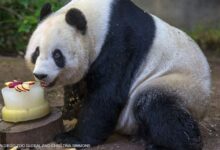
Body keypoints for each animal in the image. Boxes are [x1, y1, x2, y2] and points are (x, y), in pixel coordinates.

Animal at [24, 0, 211, 150]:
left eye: (57, 55)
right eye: (36, 52)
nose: (40, 75)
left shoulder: (119, 44)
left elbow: (107, 95)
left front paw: (72, 138)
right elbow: (77, 87)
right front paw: (67, 114)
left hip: (179, 85)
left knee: (156, 107)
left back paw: (171, 144)